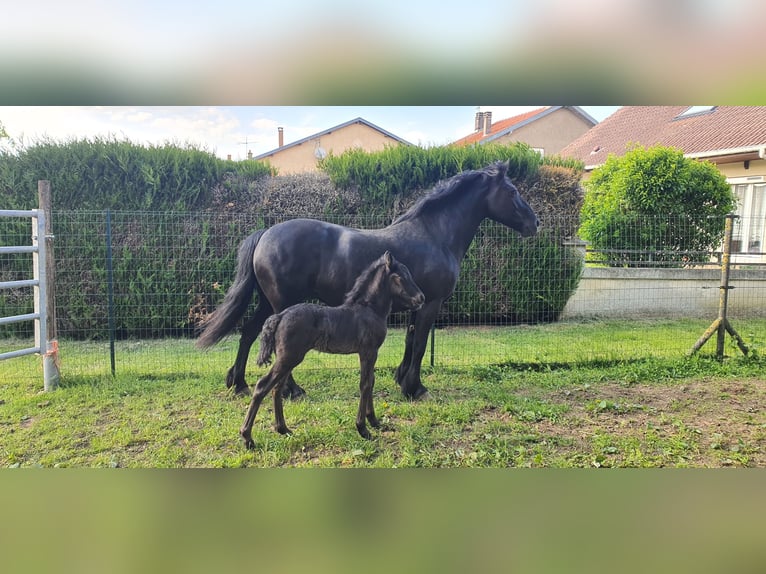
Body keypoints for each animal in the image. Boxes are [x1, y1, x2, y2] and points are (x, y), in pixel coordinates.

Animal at [197, 160, 539, 400]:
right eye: (512, 192)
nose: (534, 223)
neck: (434, 234)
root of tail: (266, 233)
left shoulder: (418, 303)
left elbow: (411, 341)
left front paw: (403, 380)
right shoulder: (431, 304)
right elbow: (419, 344)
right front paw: (415, 388)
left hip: (268, 302)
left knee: (248, 333)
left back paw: (239, 384)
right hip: (284, 305)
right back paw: (293, 391)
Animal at [239, 251, 425, 448]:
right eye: (400, 277)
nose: (421, 298)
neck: (369, 309)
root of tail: (280, 316)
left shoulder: (370, 353)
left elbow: (371, 382)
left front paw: (374, 421)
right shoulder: (368, 351)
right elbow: (365, 384)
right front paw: (363, 429)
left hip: (288, 358)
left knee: (276, 387)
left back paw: (283, 429)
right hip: (289, 357)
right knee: (262, 386)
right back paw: (248, 437)